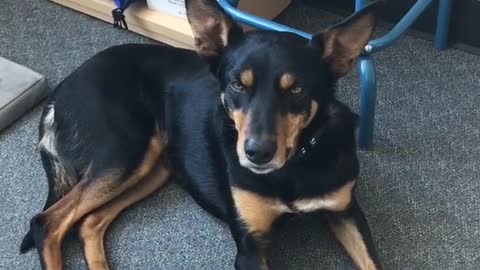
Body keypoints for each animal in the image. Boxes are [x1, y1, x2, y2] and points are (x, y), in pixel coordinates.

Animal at [20, 1, 384, 268]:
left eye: (296, 89)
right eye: (237, 84)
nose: (257, 153)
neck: (293, 166)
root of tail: (61, 90)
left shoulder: (346, 212)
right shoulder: (250, 246)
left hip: (152, 167)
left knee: (89, 222)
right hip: (125, 151)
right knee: (47, 223)